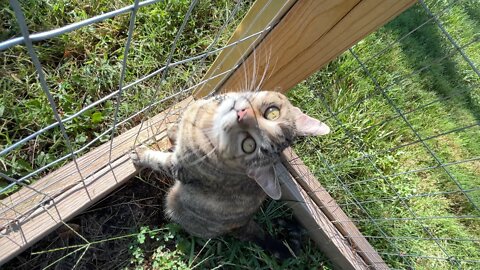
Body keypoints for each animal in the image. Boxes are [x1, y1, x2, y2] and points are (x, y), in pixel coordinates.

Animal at [129, 90, 328, 258]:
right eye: (272, 113)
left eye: (248, 145)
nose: (242, 114)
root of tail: (246, 224)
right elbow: (177, 130)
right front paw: (172, 131)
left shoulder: (181, 168)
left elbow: (158, 161)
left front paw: (141, 154)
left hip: (174, 201)